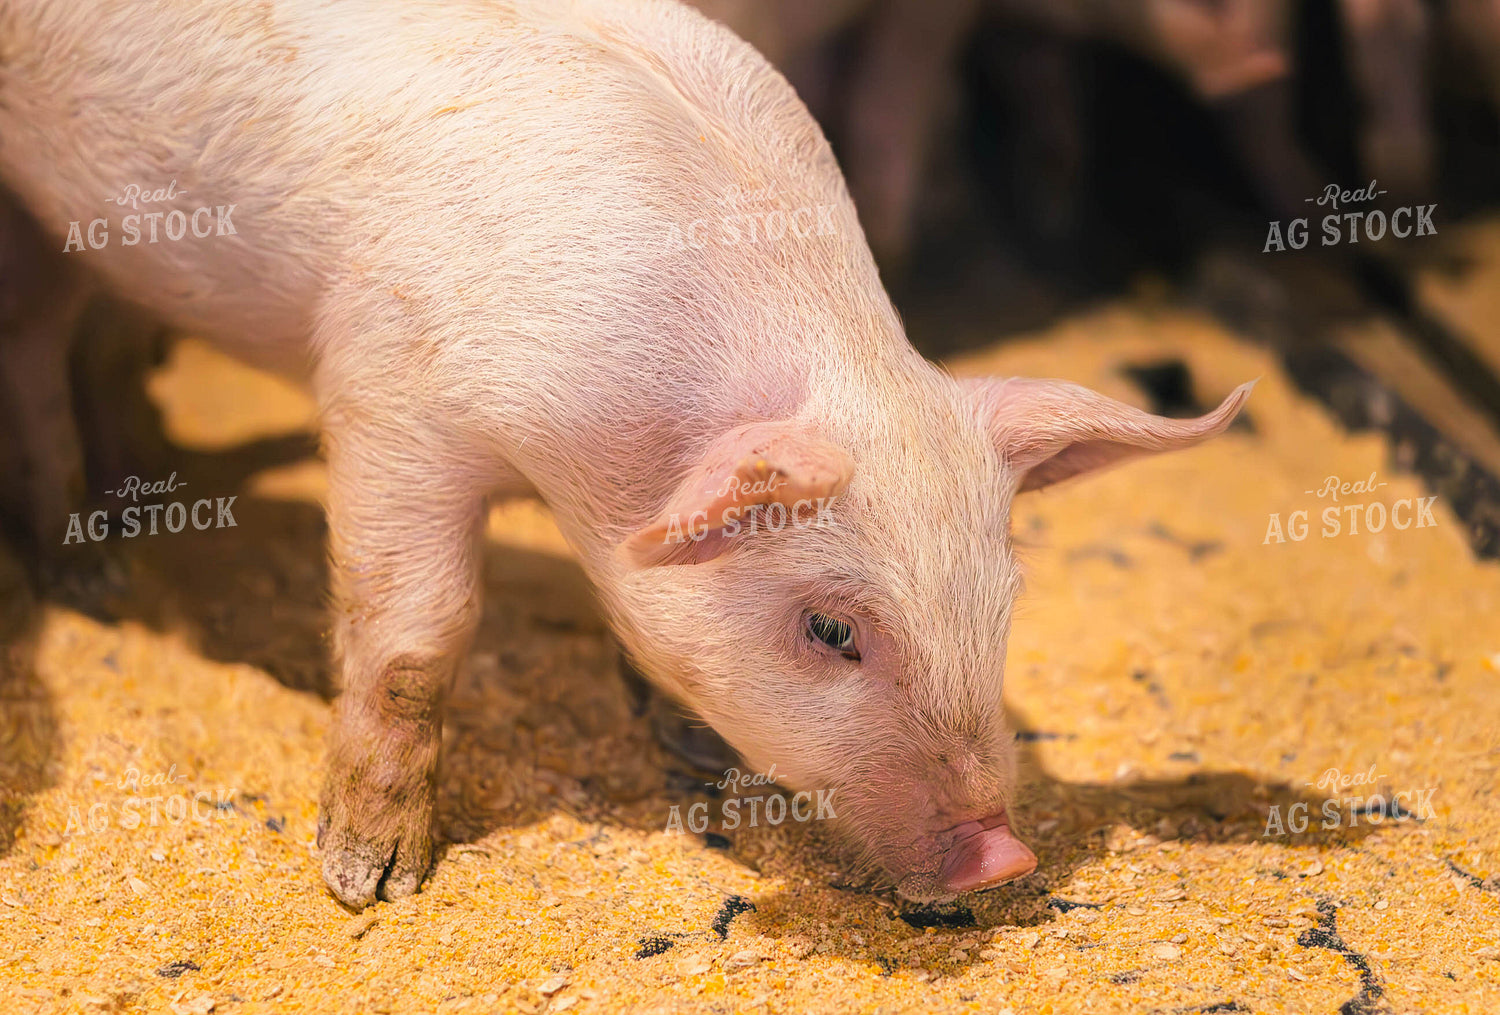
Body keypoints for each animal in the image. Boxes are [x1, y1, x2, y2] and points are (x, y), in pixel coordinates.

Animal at [0, 0, 1251, 908]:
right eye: (831, 629)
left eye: (1007, 602)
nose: (1006, 856)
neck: (593, 462)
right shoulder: (390, 399)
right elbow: (416, 636)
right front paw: (371, 886)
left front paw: (690, 750)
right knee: (36, 352)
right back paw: (98, 573)